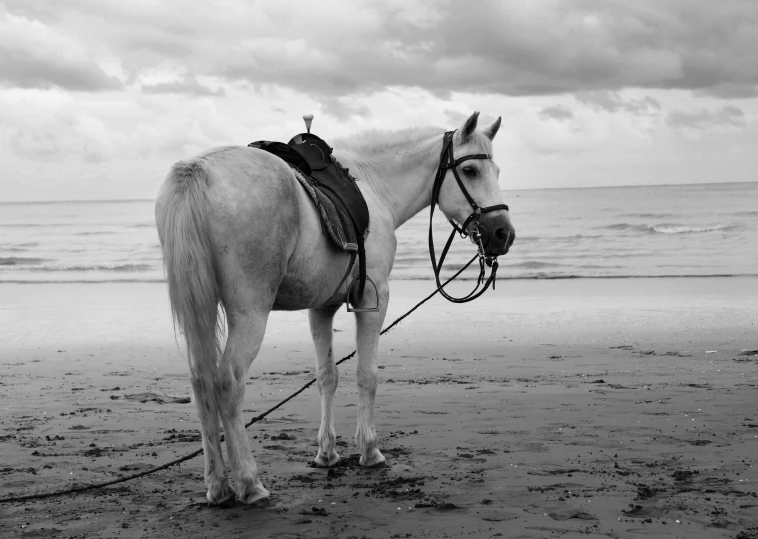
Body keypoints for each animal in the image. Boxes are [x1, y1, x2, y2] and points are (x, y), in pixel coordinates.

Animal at [157, 112, 520, 504]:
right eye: (470, 170)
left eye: (497, 171)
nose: (503, 233)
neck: (374, 186)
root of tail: (199, 169)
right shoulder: (373, 301)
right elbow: (367, 374)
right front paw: (370, 450)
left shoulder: (321, 308)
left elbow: (326, 376)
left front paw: (327, 453)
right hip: (250, 312)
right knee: (227, 382)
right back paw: (249, 482)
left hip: (203, 309)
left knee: (201, 382)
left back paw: (218, 484)